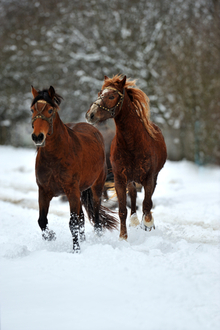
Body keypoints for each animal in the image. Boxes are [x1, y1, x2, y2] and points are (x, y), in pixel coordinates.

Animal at [30, 85, 118, 253]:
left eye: (50, 110)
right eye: (32, 109)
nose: (37, 136)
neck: (55, 157)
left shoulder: (72, 191)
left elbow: (73, 223)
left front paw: (76, 250)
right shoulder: (43, 191)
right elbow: (42, 221)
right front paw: (51, 237)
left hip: (96, 187)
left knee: (96, 216)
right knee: (82, 217)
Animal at [86, 75, 167, 240]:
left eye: (111, 96)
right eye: (99, 93)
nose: (91, 115)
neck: (131, 143)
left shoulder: (149, 178)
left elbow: (147, 204)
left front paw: (147, 224)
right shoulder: (120, 179)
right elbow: (122, 210)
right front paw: (123, 236)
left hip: (152, 177)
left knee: (147, 201)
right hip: (131, 179)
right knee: (134, 195)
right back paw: (134, 220)